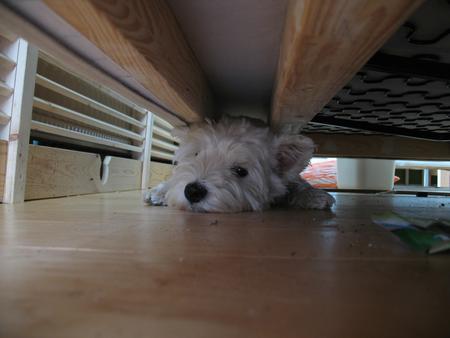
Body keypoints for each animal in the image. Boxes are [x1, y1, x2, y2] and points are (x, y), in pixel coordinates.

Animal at [144, 116, 334, 211]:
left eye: (240, 171)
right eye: (196, 155)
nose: (193, 191)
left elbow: (299, 184)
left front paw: (315, 195)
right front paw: (161, 191)